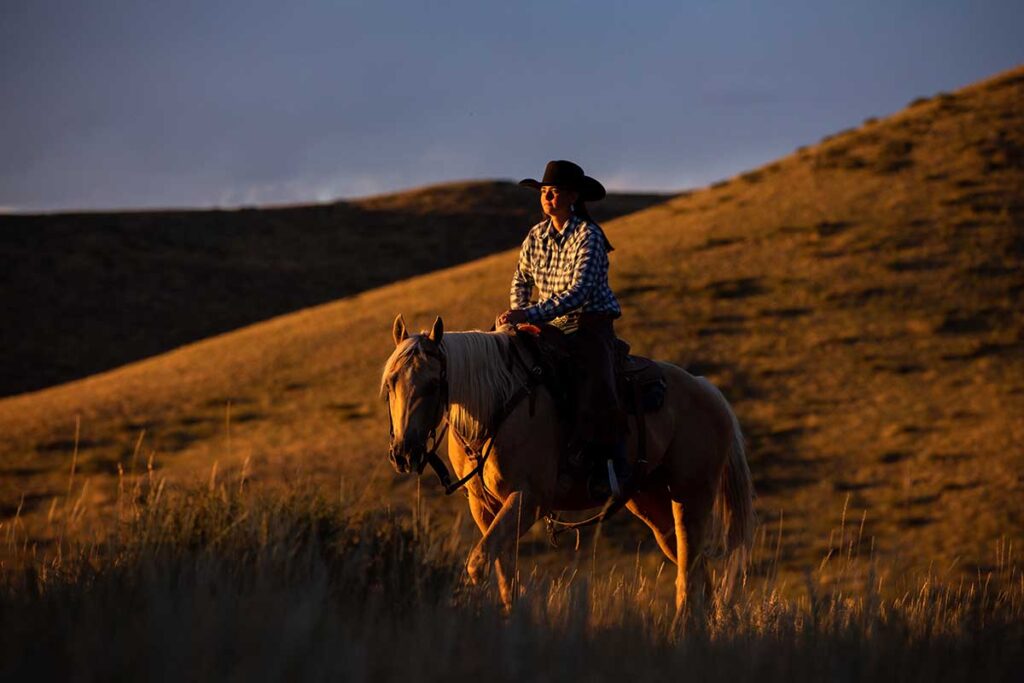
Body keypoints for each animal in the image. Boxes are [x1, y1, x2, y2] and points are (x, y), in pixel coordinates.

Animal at [380, 317, 757, 618]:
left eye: (432, 384)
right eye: (391, 382)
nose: (404, 453)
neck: (497, 407)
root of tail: (708, 389)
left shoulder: (529, 499)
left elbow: (480, 563)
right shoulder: (484, 506)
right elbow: (502, 571)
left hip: (691, 497)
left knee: (689, 573)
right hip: (652, 504)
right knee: (694, 570)